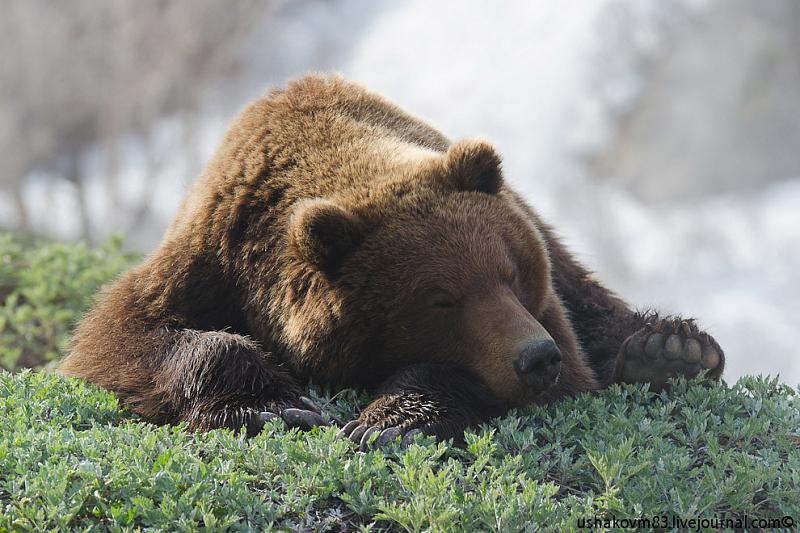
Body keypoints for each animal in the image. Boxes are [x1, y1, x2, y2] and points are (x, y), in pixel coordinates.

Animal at [61, 75, 724, 446]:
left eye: (511, 274)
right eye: (441, 299)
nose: (536, 357)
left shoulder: (545, 310)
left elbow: (559, 366)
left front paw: (390, 419)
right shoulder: (209, 253)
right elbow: (121, 338)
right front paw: (277, 407)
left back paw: (669, 349)